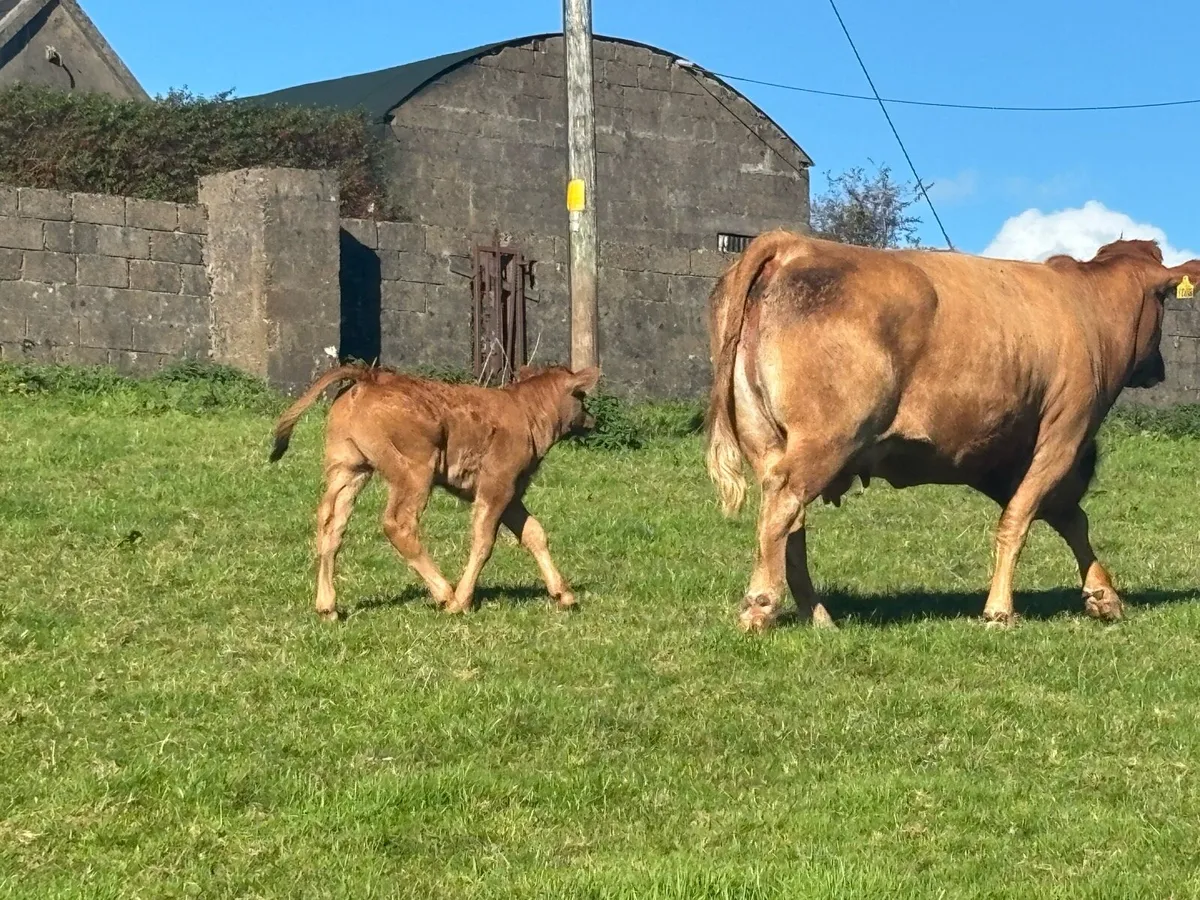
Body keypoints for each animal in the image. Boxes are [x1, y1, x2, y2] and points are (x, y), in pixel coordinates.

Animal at [270, 362, 601, 621]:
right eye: (581, 396)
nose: (591, 420)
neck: (525, 410)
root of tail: (369, 379)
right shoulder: (496, 487)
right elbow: (484, 541)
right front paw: (462, 601)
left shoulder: (512, 495)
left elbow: (534, 533)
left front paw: (564, 595)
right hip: (415, 472)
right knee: (398, 523)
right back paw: (445, 594)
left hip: (349, 468)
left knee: (331, 525)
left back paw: (328, 607)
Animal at [705, 230, 1199, 633]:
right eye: (1164, 300)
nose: (1158, 369)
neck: (1087, 306)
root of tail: (793, 244)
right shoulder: (1065, 433)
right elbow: (1020, 519)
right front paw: (999, 610)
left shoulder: (1000, 454)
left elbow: (1067, 517)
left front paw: (1103, 595)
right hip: (827, 438)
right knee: (783, 505)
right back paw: (761, 606)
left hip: (768, 438)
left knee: (790, 521)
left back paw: (819, 615)